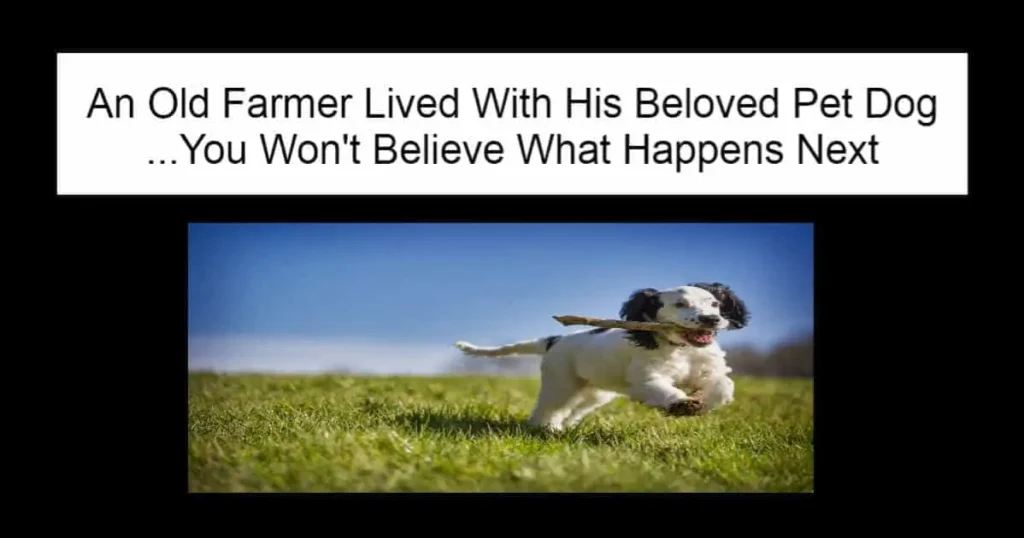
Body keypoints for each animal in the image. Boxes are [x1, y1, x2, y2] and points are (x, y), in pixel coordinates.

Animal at [452, 282, 749, 430]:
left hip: (595, 393)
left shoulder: (710, 369)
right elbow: (663, 389)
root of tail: (554, 340)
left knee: (574, 410)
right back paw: (545, 428)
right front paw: (681, 404)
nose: (712, 319)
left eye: (715, 304)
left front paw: (702, 401)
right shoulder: (647, 379)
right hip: (561, 383)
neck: (681, 348)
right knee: (548, 408)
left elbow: (724, 385)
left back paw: (564, 427)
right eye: (680, 304)